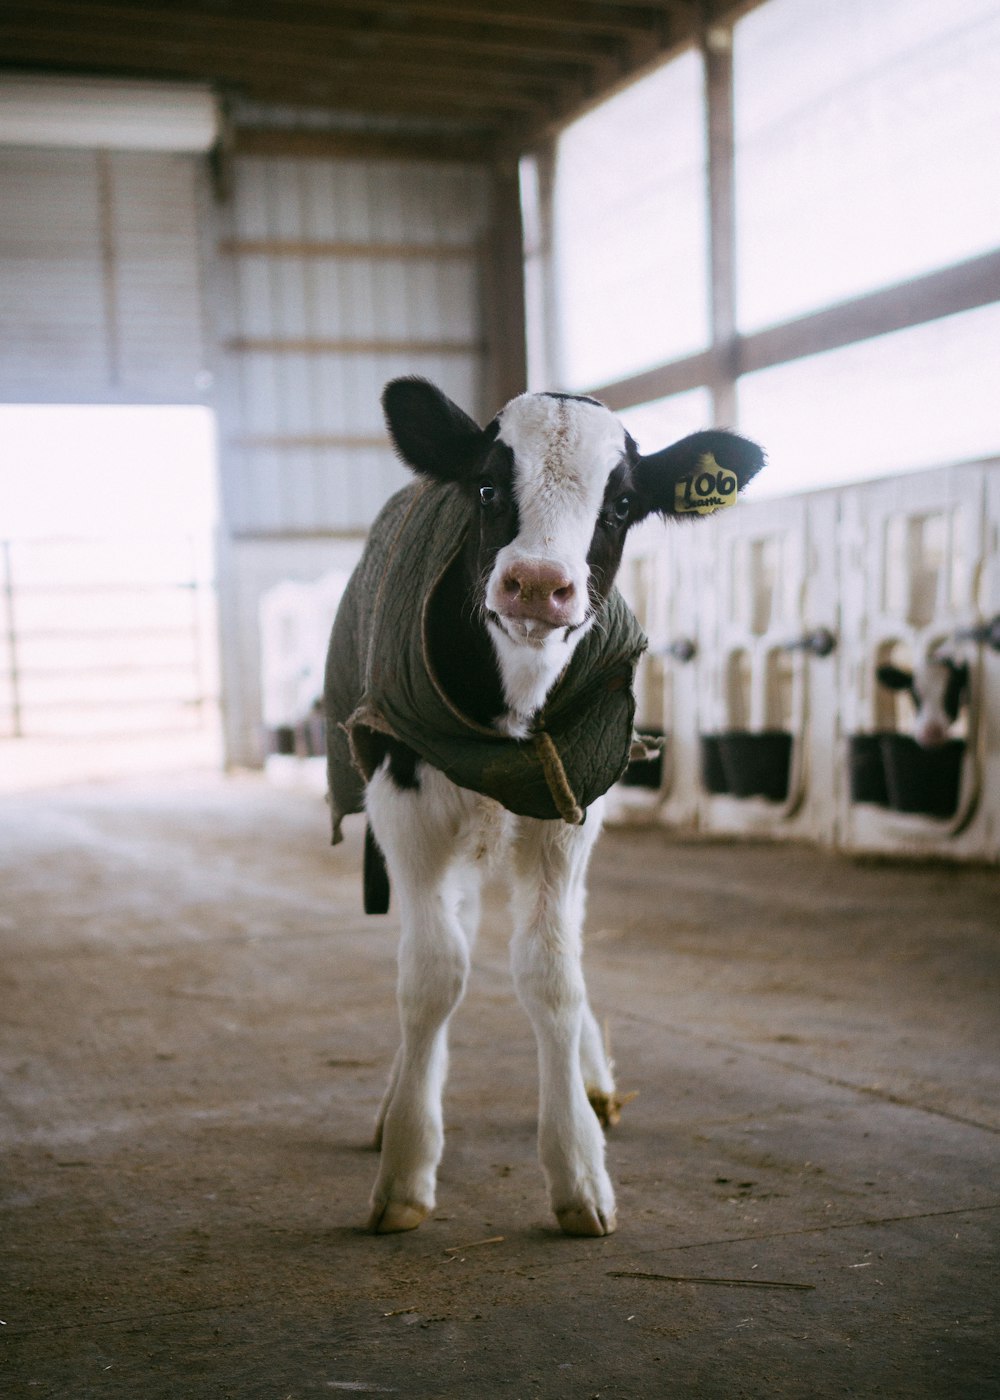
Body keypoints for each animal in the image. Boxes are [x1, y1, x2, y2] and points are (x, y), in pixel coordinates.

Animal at [324, 377, 764, 1237]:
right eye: (488, 487)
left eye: (621, 503)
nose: (534, 583)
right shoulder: (403, 797)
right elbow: (431, 974)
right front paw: (406, 1169)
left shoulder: (573, 804)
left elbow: (553, 972)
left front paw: (579, 1169)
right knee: (449, 935)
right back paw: (397, 1103)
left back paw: (594, 1081)